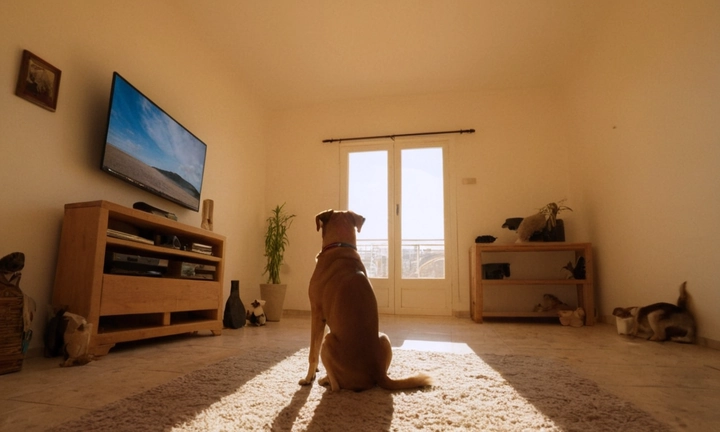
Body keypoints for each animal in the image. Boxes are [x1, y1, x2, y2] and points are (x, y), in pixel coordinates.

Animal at [298, 209, 434, 392]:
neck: (340, 246)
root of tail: (377, 373)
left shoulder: (317, 313)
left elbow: (313, 352)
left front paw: (308, 378)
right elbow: (316, 345)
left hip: (329, 342)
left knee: (336, 387)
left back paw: (325, 381)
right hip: (384, 337)